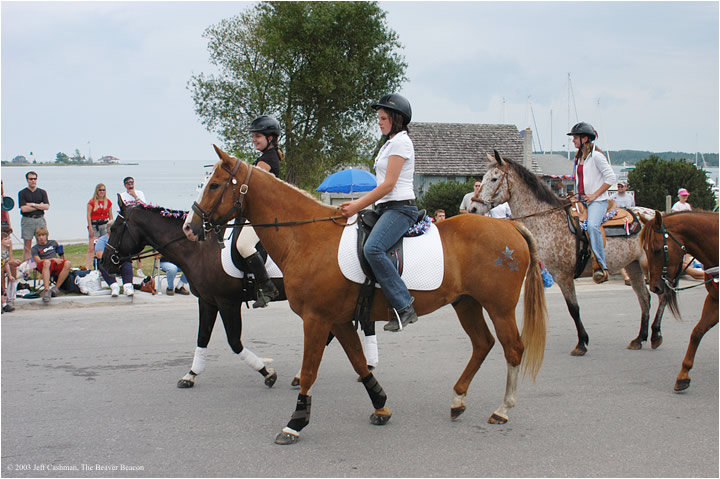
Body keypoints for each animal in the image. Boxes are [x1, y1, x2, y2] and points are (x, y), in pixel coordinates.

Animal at [100, 199, 284, 390]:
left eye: (115, 229)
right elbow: (203, 336)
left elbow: (234, 342)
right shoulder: (207, 300)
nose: (103, 262)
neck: (200, 249)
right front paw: (191, 374)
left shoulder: (227, 302)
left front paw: (266, 372)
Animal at [183, 145, 548, 446]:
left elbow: (312, 369)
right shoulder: (338, 320)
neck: (307, 237)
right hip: (466, 303)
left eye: (214, 185)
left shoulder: (316, 319)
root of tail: (510, 226)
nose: (189, 227)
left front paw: (295, 422)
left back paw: (503, 409)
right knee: (482, 344)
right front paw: (381, 407)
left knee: (512, 349)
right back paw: (458, 400)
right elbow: (359, 363)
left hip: (499, 307)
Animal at [472, 151, 668, 356]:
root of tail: (657, 215)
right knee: (644, 298)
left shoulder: (563, 275)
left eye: (494, 178)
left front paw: (581, 343)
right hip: (633, 266)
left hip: (651, 266)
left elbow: (574, 309)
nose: (474, 208)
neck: (546, 219)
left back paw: (655, 335)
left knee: (663, 294)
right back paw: (639, 338)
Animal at [640, 212, 716, 392]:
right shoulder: (714, 299)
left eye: (657, 250)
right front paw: (683, 375)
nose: (654, 286)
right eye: (645, 249)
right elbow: (697, 332)